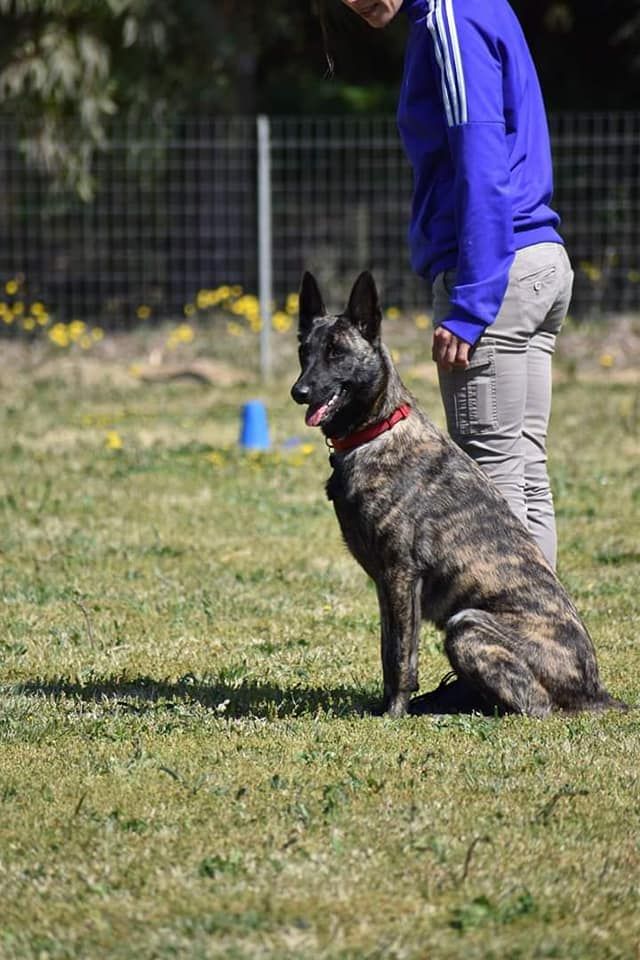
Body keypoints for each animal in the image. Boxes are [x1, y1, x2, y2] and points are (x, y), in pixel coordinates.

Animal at [292, 270, 628, 720]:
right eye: (304, 352)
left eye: (337, 352)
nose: (299, 391)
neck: (378, 431)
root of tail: (595, 690)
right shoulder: (386, 583)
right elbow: (386, 650)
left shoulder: (402, 576)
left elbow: (401, 657)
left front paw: (394, 714)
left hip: (466, 624)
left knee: (535, 708)